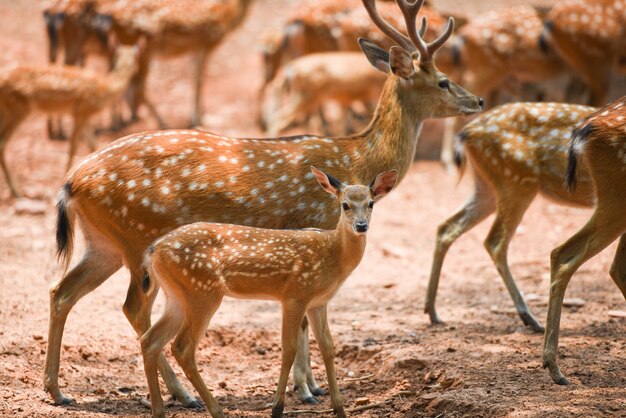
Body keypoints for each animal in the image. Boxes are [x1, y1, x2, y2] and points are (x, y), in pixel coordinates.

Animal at [0, 43, 140, 198]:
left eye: (133, 56)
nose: (135, 68)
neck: (106, 88)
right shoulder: (80, 112)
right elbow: (73, 147)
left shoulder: (85, 117)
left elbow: (94, 146)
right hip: (18, 109)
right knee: (2, 143)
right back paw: (16, 191)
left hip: (8, 110)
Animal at [140, 167, 394, 418]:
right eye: (345, 205)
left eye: (371, 203)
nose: (361, 226)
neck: (332, 253)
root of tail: (153, 249)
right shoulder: (295, 295)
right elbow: (289, 349)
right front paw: (277, 408)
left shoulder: (318, 302)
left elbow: (328, 348)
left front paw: (339, 409)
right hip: (202, 292)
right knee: (182, 348)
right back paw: (215, 410)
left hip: (176, 295)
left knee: (150, 341)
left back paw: (159, 411)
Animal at [424, 102, 596, 334]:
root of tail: (467, 133)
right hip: (517, 182)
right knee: (494, 241)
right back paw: (530, 319)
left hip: (486, 187)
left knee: (446, 226)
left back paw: (432, 311)